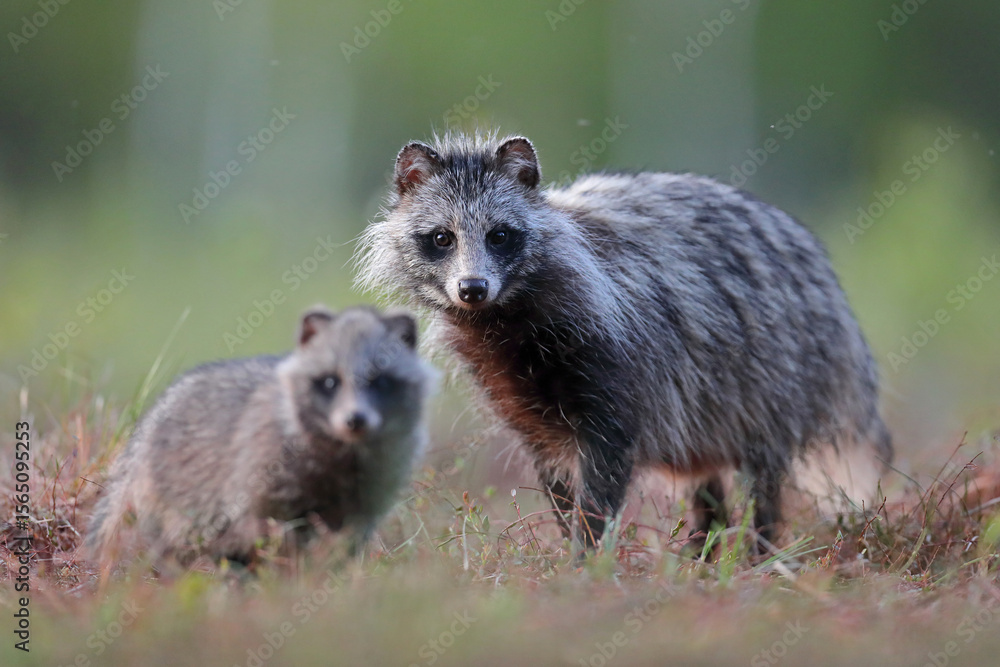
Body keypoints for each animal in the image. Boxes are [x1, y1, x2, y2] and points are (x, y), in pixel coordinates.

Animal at [88, 305, 432, 565]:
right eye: (330, 382)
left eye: (381, 381)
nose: (355, 420)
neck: (344, 449)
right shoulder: (264, 468)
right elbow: (268, 525)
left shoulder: (373, 484)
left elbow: (350, 532)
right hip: (174, 490)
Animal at [356, 131, 893, 549]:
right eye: (442, 238)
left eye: (500, 235)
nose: (472, 288)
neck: (504, 318)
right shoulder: (516, 396)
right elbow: (554, 475)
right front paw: (570, 541)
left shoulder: (616, 353)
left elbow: (606, 468)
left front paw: (588, 557)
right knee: (707, 481)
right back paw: (703, 552)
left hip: (775, 375)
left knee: (763, 475)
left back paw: (759, 550)